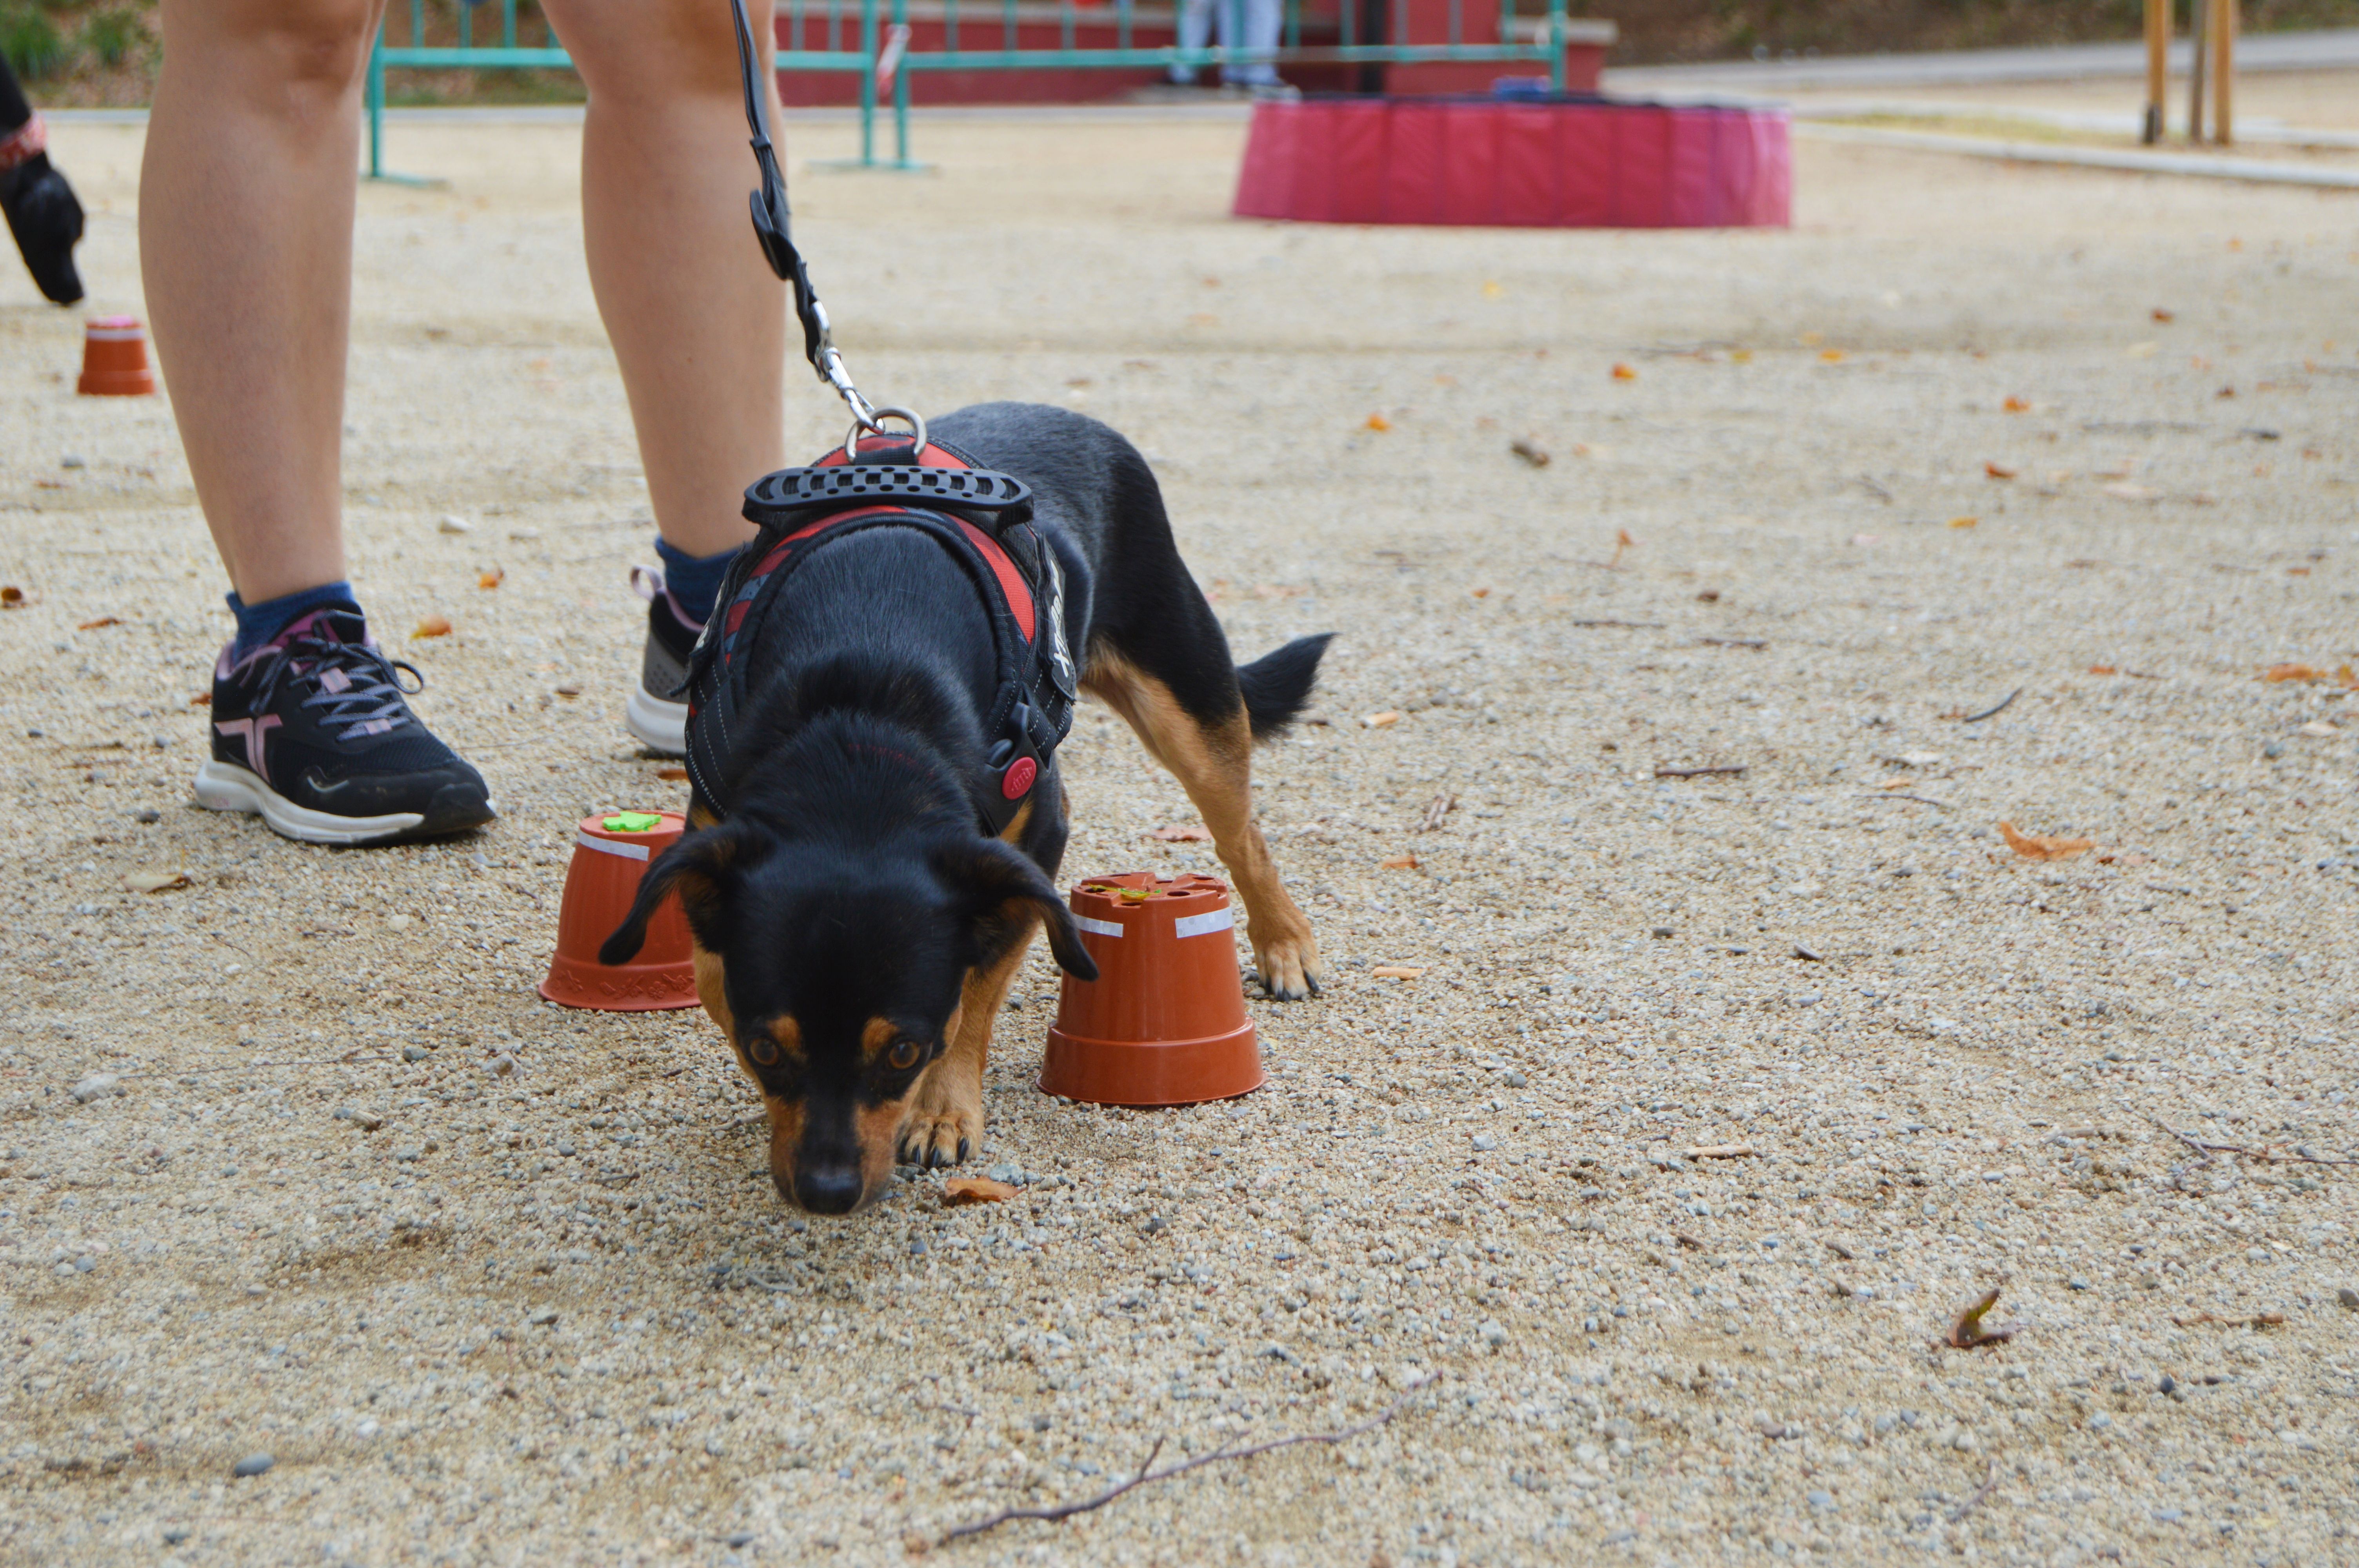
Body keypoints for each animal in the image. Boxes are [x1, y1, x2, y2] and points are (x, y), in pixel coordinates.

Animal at [604, 401, 1330, 1207]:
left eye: (904, 1051)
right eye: (764, 1047)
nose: (827, 1192)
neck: (859, 716)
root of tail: (1059, 412)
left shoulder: (1026, 851)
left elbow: (974, 993)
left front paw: (942, 1111)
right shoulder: (715, 836)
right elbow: (711, 976)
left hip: (1188, 704)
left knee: (1241, 835)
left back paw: (1284, 945)